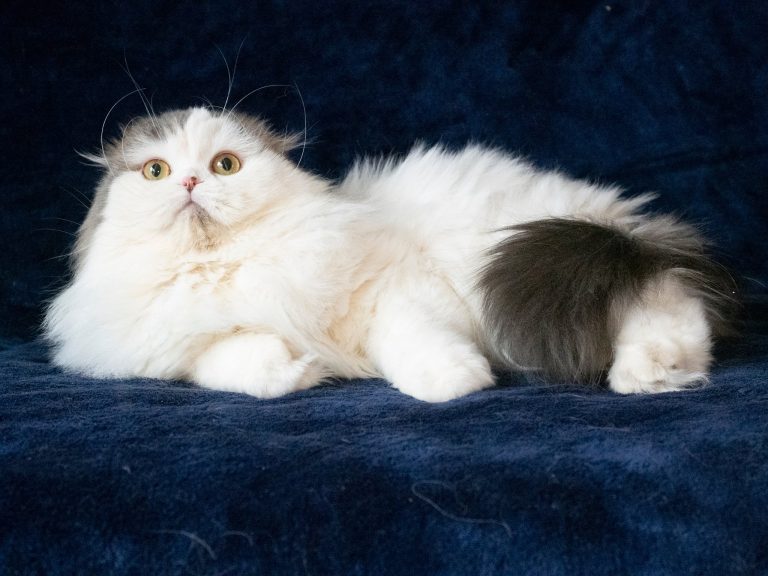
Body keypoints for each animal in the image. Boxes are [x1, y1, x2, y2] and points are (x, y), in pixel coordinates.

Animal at [42, 106, 736, 400]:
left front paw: (452, 383)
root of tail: (616, 217)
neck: (230, 266)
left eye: (225, 165)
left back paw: (646, 376)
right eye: (156, 171)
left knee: (672, 306)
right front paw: (300, 369)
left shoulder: (398, 289)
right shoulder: (186, 350)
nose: (189, 183)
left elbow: (411, 344)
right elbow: (240, 363)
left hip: (519, 268)